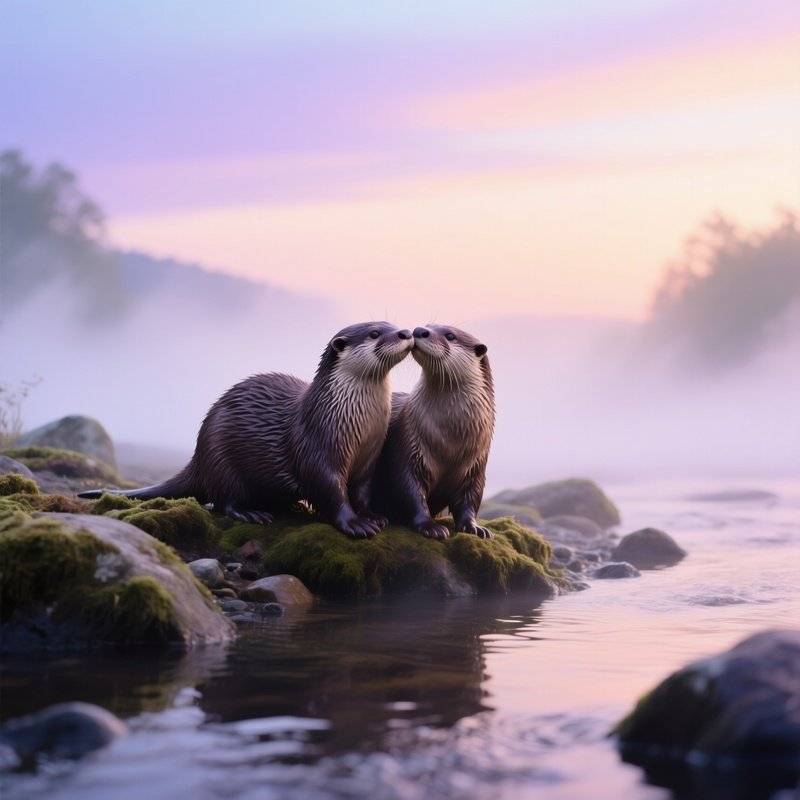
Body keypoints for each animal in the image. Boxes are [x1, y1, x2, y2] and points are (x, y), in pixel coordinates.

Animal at [79, 322, 413, 538]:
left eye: (393, 322)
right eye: (374, 333)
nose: (406, 332)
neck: (354, 421)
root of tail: (198, 456)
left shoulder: (369, 458)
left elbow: (362, 491)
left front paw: (372, 515)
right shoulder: (316, 448)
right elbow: (330, 491)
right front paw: (354, 524)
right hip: (220, 457)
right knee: (223, 499)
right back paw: (251, 513)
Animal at [372, 324, 495, 540]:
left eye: (450, 335)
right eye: (429, 326)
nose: (419, 330)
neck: (449, 441)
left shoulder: (476, 465)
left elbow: (471, 499)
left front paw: (474, 527)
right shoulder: (407, 448)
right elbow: (410, 492)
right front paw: (430, 526)